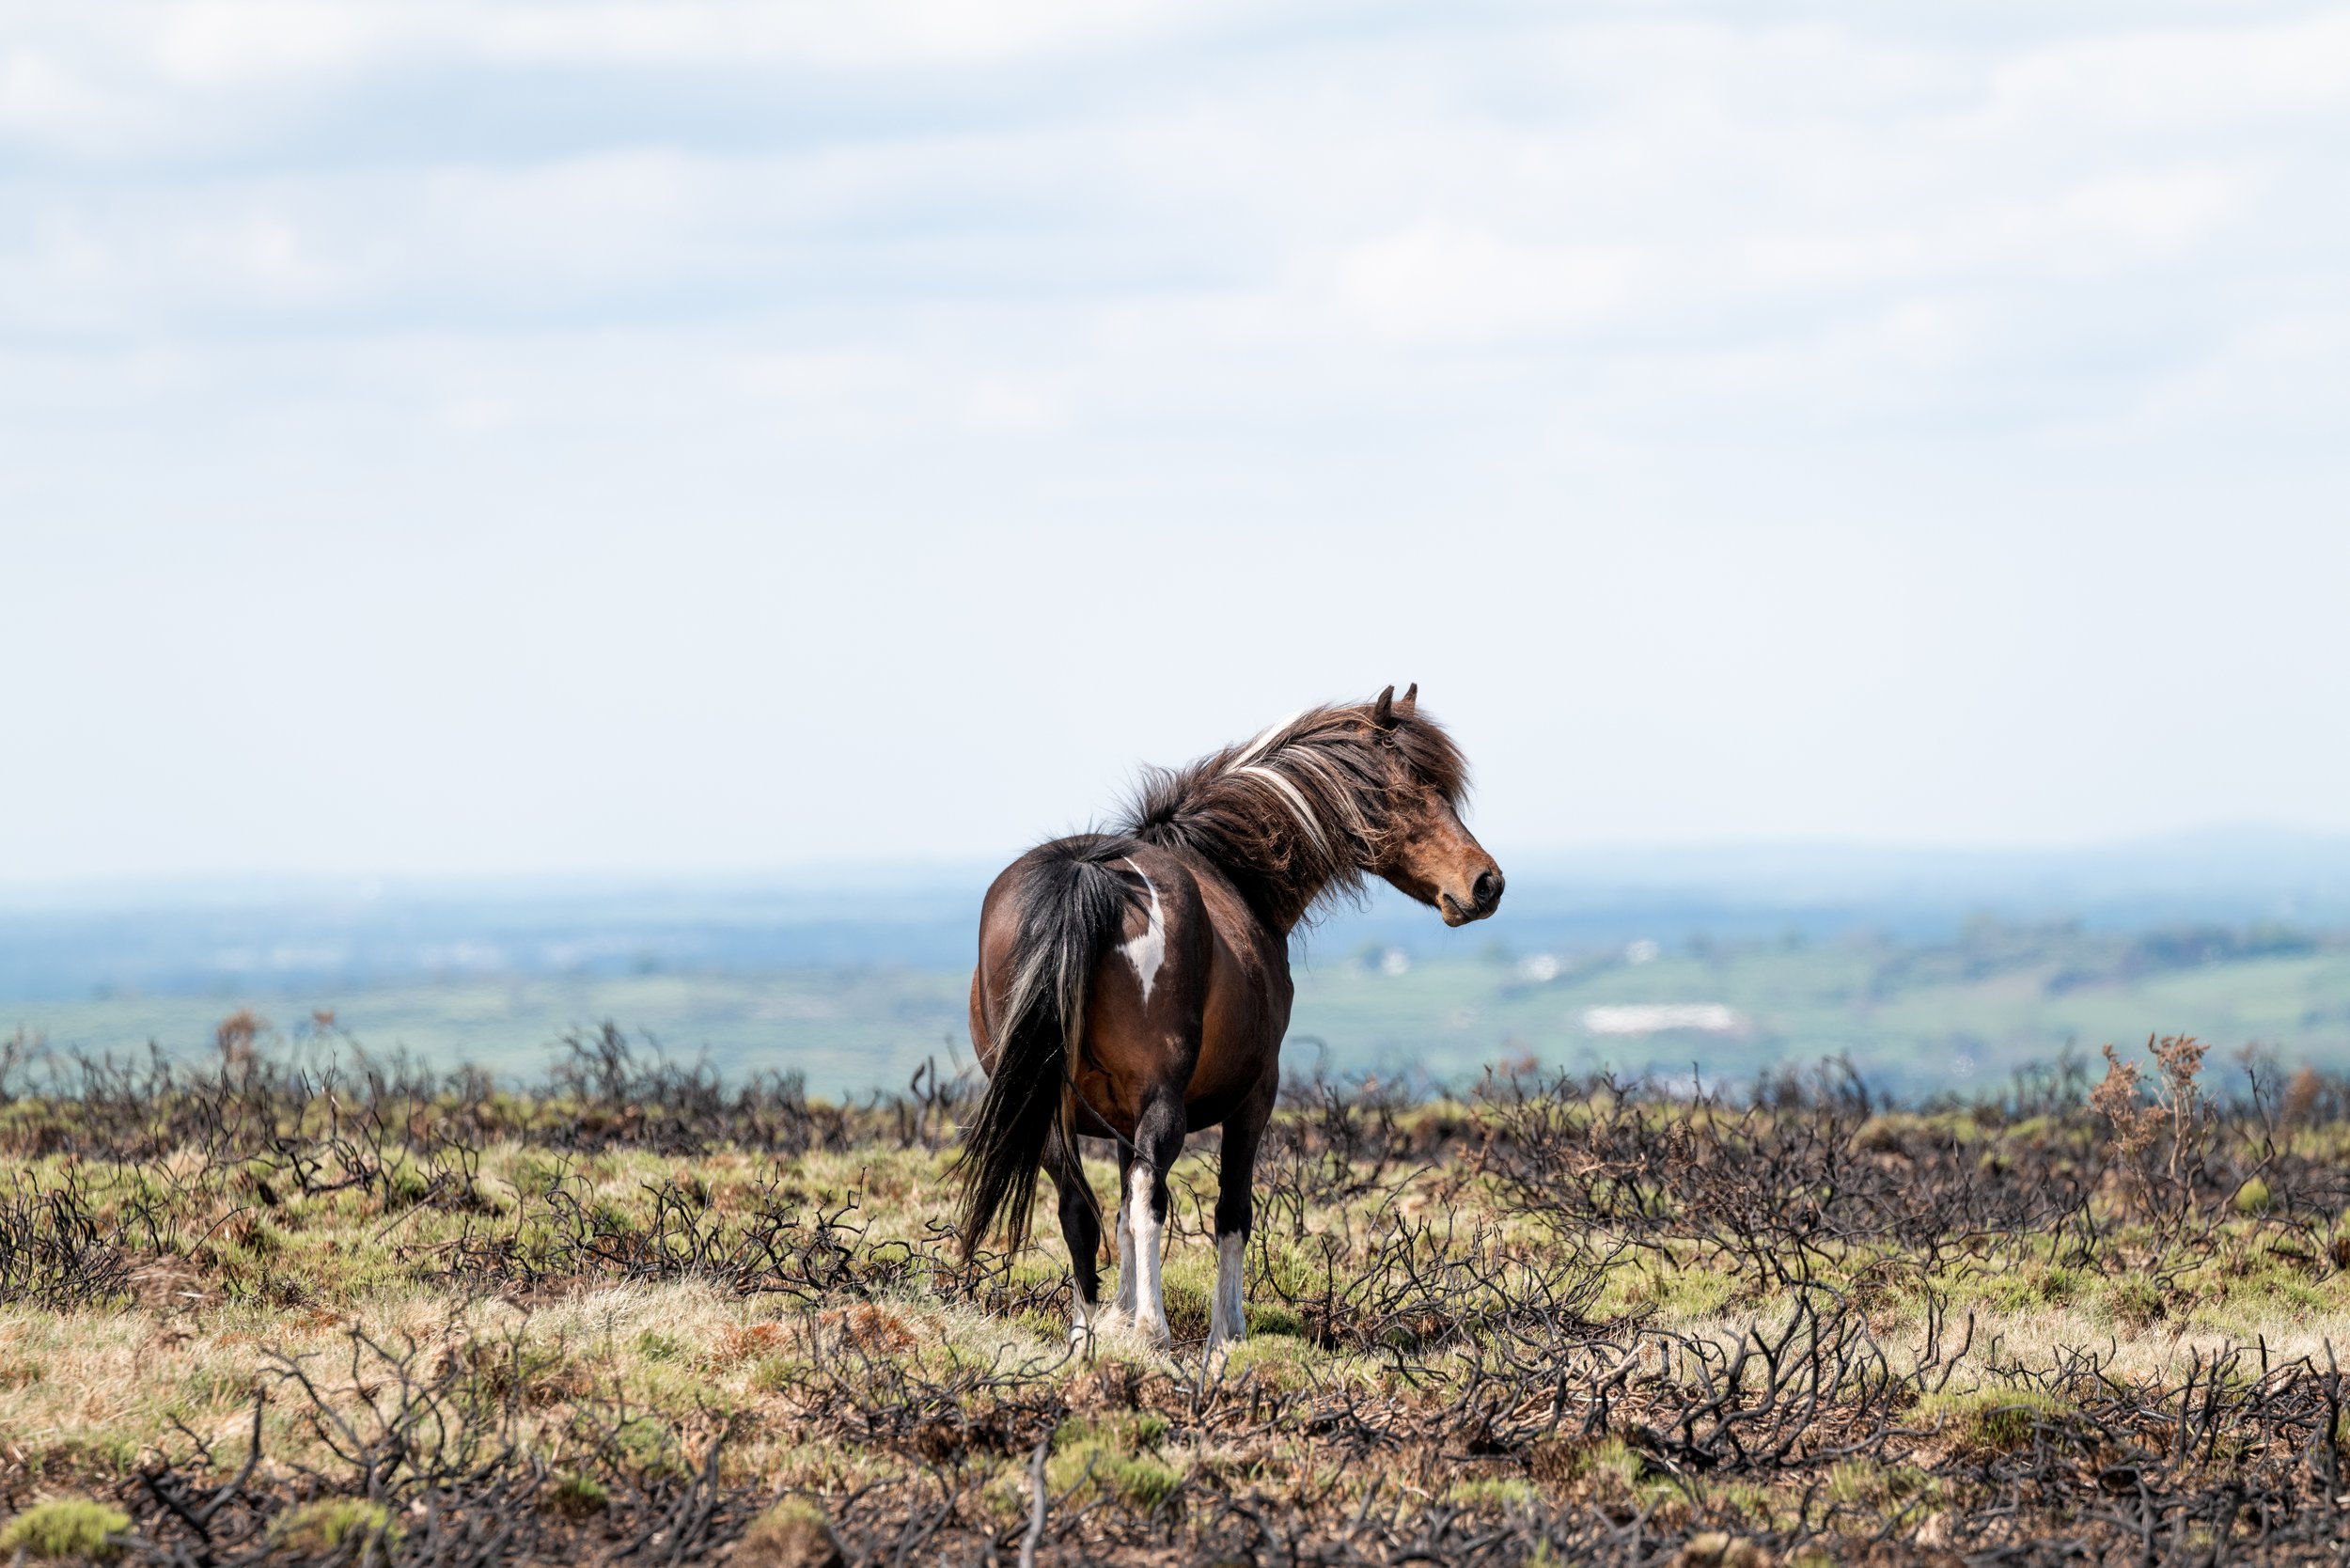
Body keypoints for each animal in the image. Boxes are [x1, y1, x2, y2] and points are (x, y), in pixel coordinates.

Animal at [953, 684, 1503, 1352]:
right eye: (1407, 794)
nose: (1486, 883)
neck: (1235, 878)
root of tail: (1089, 872)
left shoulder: (1116, 1119)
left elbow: (1119, 1215)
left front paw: (1117, 1315)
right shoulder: (1256, 1096)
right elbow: (1230, 1213)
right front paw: (1225, 1333)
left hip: (1048, 1111)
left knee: (1080, 1208)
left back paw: (1085, 1342)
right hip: (1160, 1099)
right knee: (1151, 1196)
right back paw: (1154, 1330)